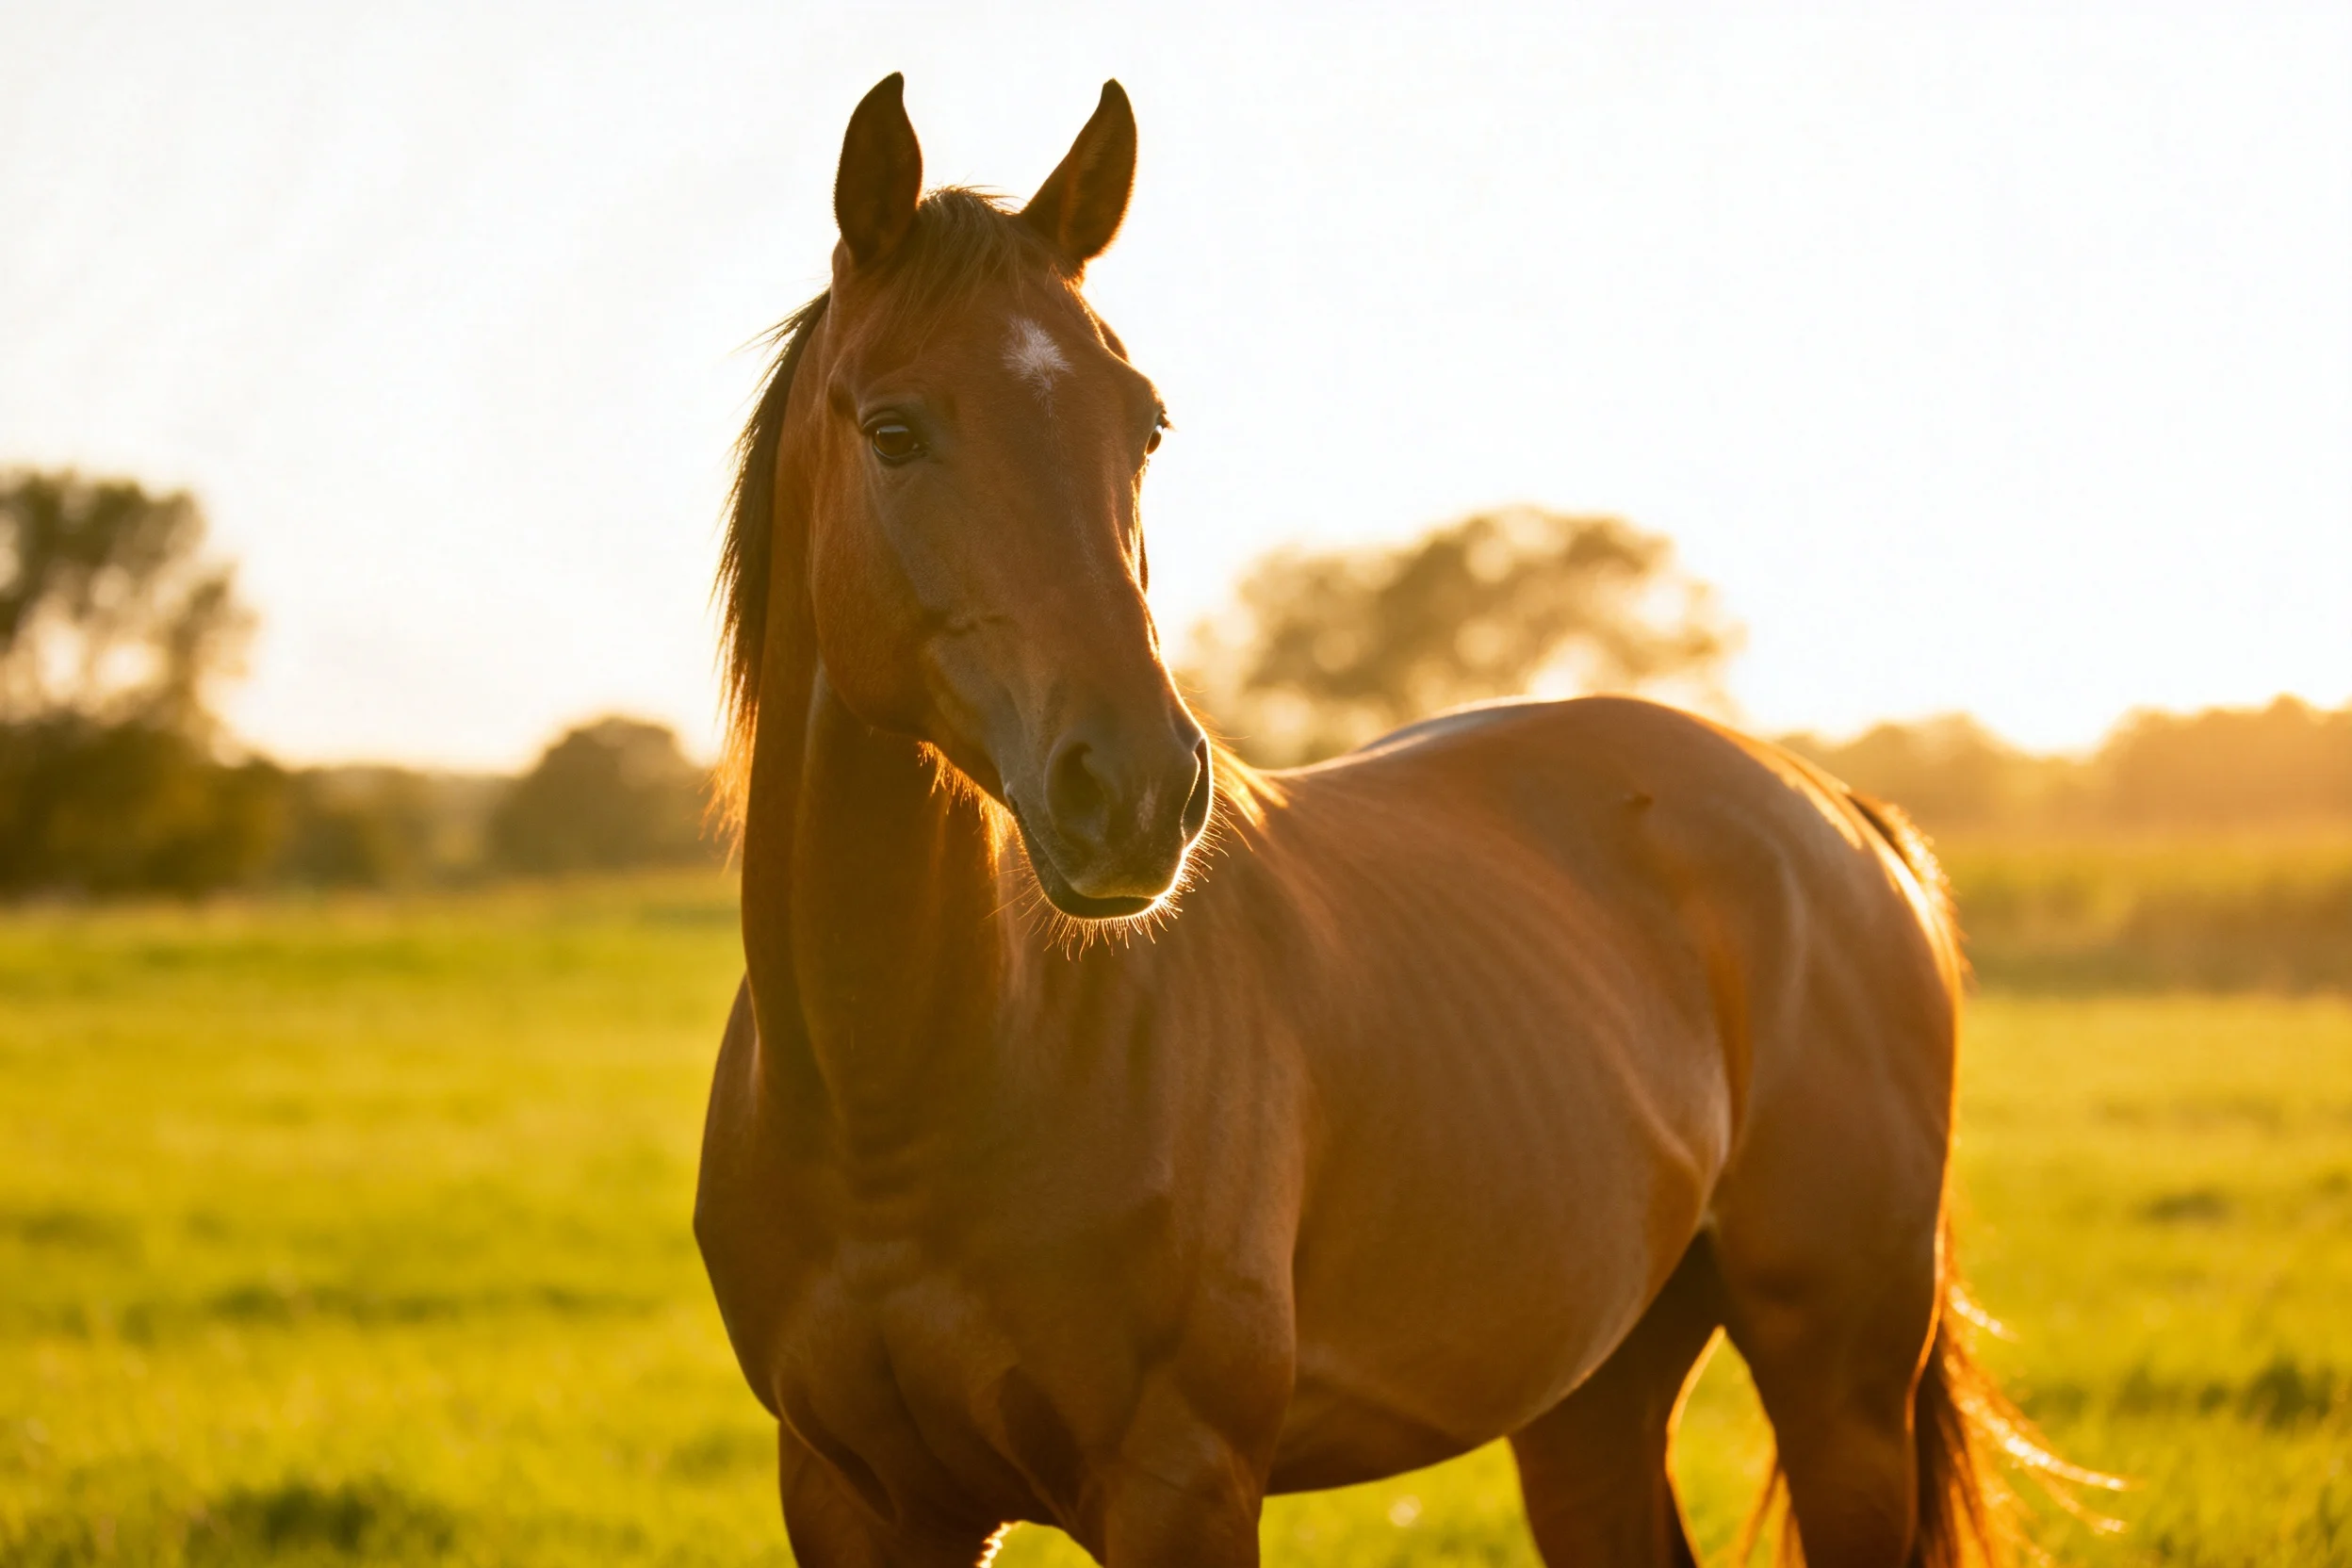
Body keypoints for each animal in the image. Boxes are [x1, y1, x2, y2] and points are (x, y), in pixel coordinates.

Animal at [694, 74, 2082, 1567]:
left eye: (1144, 426)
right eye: (893, 429)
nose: (1136, 790)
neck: (896, 1095)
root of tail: (1843, 819)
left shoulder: (1182, 1481)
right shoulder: (852, 1495)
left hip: (1840, 1388)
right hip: (1594, 1392)